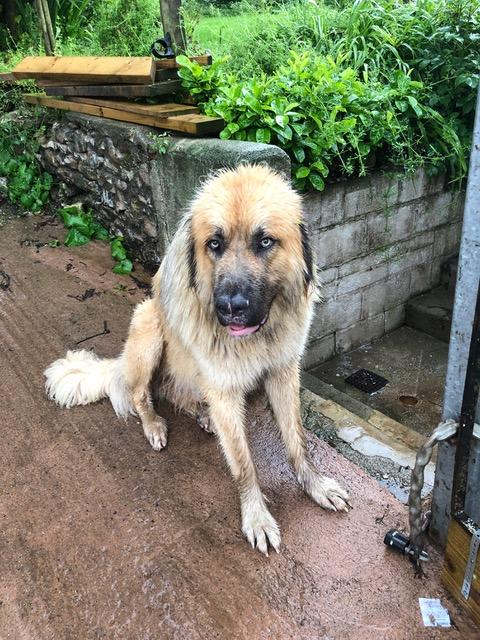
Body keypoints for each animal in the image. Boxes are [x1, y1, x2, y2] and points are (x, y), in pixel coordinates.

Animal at [45, 165, 348, 556]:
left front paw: (315, 486)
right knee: (142, 395)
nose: (229, 308)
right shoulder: (223, 388)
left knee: (182, 396)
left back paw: (203, 415)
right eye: (214, 244)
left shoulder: (282, 372)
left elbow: (297, 442)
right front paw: (256, 517)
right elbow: (244, 465)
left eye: (265, 241)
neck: (258, 336)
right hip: (149, 326)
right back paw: (154, 425)